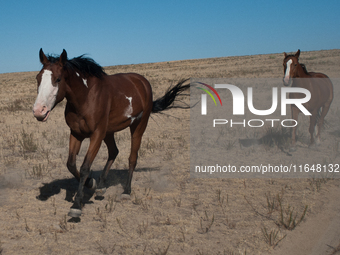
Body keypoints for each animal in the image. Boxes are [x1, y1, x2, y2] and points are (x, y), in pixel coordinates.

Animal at [32, 48, 190, 216]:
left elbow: (85, 167)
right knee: (114, 151)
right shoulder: (76, 133)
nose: (38, 111)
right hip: (109, 132)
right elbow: (71, 164)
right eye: (38, 78)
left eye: (58, 79)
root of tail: (142, 81)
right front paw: (92, 183)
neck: (86, 97)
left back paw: (126, 191)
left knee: (132, 157)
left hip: (138, 127)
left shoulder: (97, 135)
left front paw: (77, 204)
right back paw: (101, 187)